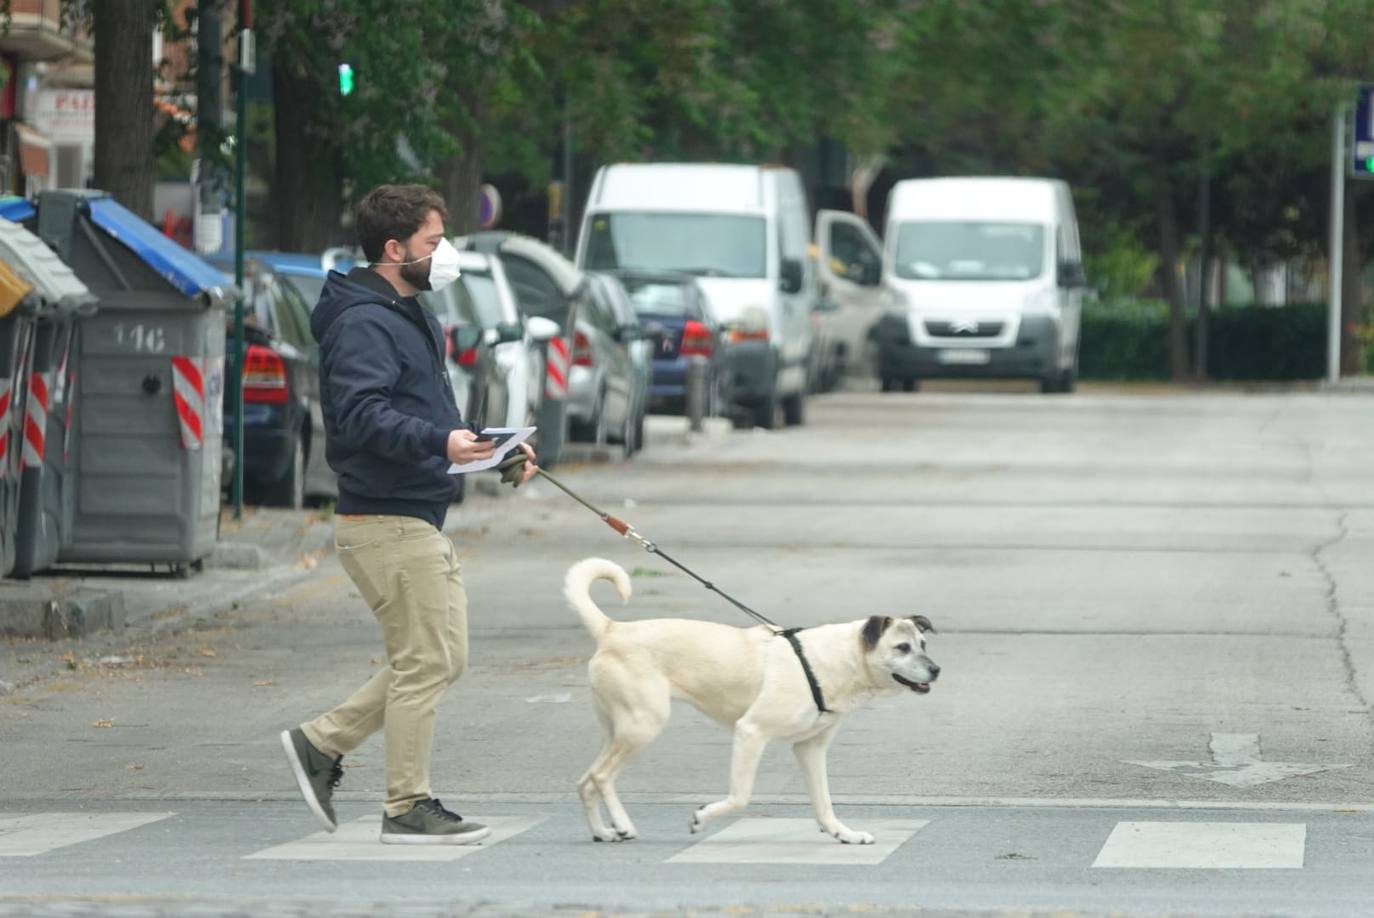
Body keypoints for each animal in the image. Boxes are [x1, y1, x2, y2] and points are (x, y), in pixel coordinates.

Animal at [563, 555, 939, 841]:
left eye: (923, 644)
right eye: (902, 648)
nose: (936, 670)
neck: (835, 659)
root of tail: (612, 629)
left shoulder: (810, 749)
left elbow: (824, 803)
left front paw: (842, 834)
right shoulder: (750, 733)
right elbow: (740, 797)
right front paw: (702, 816)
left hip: (619, 728)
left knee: (585, 781)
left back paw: (602, 832)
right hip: (643, 725)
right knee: (601, 776)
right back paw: (622, 825)